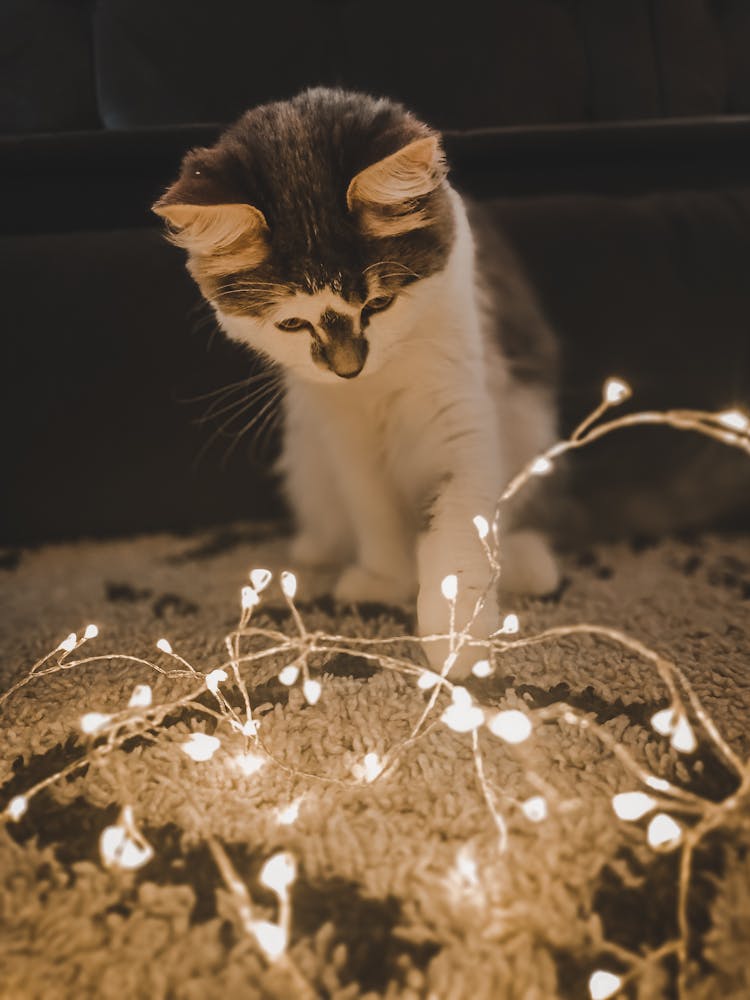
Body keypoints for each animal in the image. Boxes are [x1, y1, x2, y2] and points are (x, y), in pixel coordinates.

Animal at [154, 90, 560, 676]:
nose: (348, 368)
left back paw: (528, 566)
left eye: (379, 304)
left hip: (527, 423)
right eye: (292, 325)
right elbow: (374, 512)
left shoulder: (457, 410)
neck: (377, 386)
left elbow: (459, 529)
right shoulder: (343, 433)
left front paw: (456, 638)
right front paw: (385, 582)